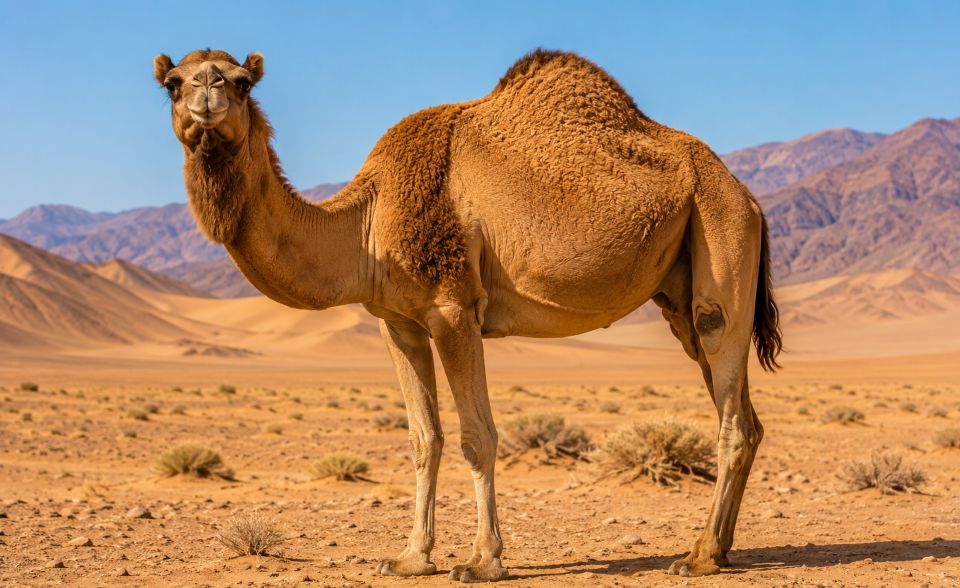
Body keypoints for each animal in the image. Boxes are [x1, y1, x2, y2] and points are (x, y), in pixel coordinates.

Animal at [153, 48, 782, 581]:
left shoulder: (452, 309)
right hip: (682, 289)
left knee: (728, 400)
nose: (206, 92)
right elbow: (422, 437)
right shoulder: (398, 322)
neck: (366, 224)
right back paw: (720, 550)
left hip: (719, 237)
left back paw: (698, 557)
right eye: (172, 83)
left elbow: (477, 436)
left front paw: (482, 561)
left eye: (242, 81)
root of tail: (748, 195)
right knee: (744, 416)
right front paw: (410, 557)